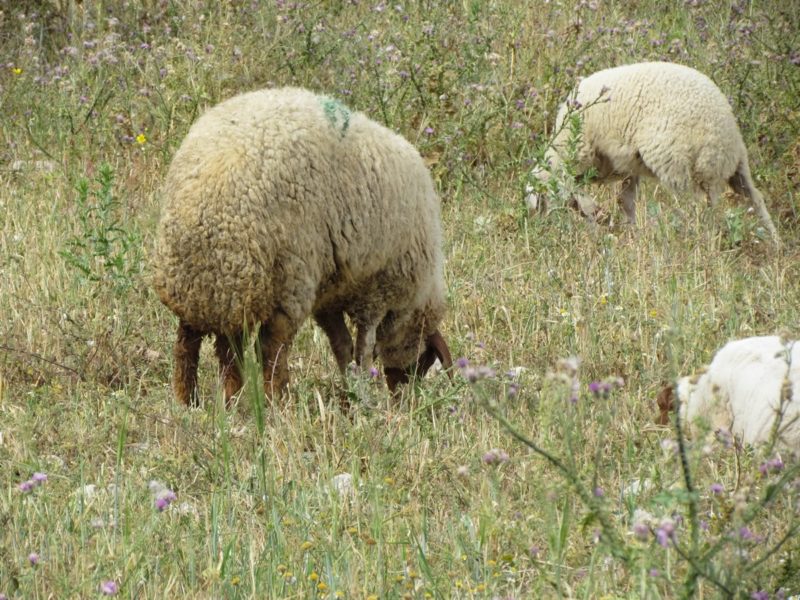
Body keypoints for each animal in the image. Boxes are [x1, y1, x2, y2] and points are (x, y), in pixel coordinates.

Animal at [153, 86, 454, 406]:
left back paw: (196, 400)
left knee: (194, 344)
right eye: (424, 361)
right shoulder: (376, 293)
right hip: (285, 280)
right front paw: (362, 391)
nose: (403, 400)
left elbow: (342, 345)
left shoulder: (330, 297)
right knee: (270, 347)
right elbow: (362, 346)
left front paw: (351, 388)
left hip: (208, 287)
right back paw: (277, 399)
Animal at [524, 61, 780, 244]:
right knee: (754, 197)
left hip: (680, 163)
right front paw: (629, 233)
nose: (540, 232)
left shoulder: (582, 154)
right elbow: (625, 200)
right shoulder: (628, 165)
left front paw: (598, 218)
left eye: (538, 203)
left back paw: (698, 240)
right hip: (734, 165)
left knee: (700, 207)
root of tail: (725, 128)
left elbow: (578, 195)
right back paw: (776, 243)